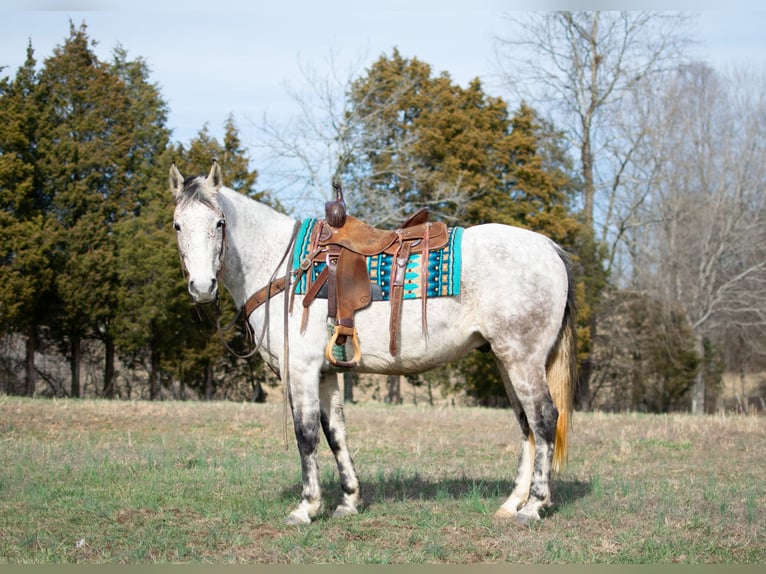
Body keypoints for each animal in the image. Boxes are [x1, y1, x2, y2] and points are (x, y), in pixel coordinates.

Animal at [168, 161, 576, 528]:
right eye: (177, 225)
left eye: (219, 223)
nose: (202, 287)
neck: (282, 266)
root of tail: (549, 249)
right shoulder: (326, 373)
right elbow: (335, 433)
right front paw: (348, 501)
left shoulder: (301, 370)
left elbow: (306, 434)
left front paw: (306, 508)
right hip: (506, 360)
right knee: (525, 423)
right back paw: (512, 503)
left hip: (523, 360)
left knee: (544, 419)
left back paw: (533, 506)